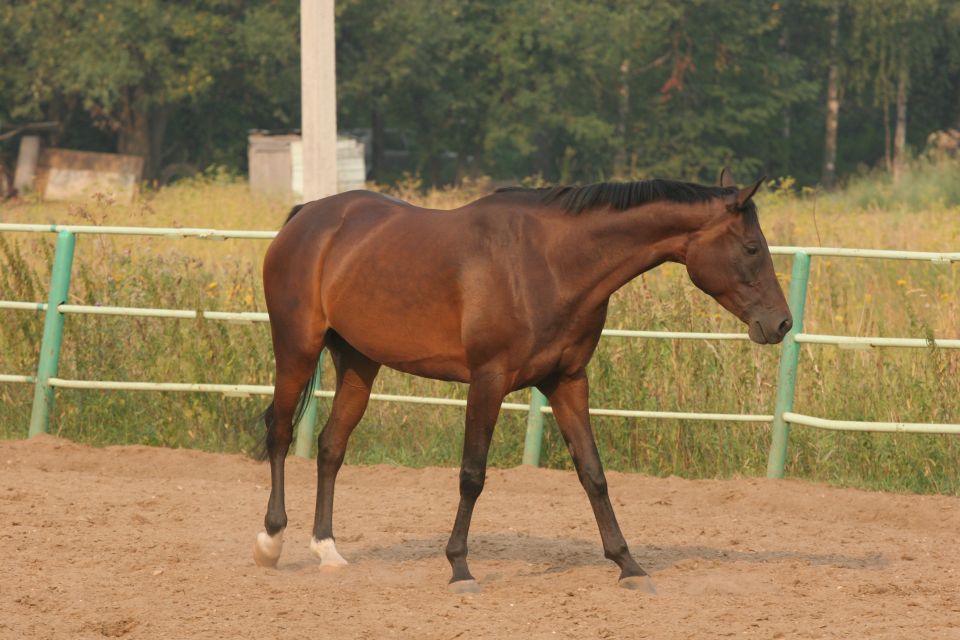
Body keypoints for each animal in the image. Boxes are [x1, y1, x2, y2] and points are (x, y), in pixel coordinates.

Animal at [252, 168, 792, 593]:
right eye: (751, 247)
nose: (781, 323)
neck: (550, 263)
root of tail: (306, 217)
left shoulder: (568, 381)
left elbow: (593, 474)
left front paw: (629, 565)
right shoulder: (488, 381)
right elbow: (472, 475)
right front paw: (460, 568)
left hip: (359, 362)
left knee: (330, 447)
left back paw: (327, 550)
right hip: (296, 350)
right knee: (280, 435)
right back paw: (271, 542)